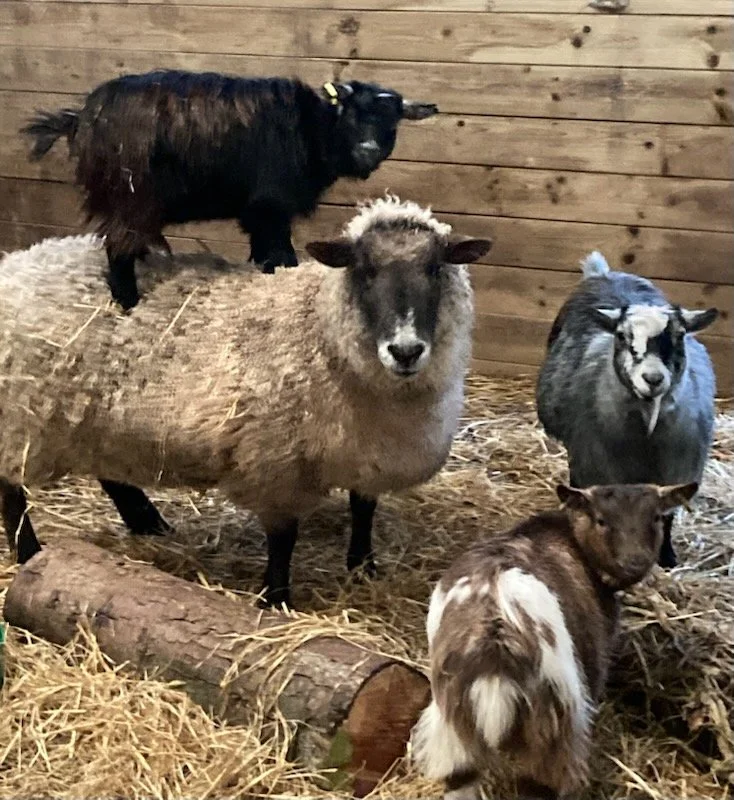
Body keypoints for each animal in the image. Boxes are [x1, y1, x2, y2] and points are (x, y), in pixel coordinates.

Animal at [0, 196, 490, 607]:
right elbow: (283, 538)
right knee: (11, 492)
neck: (317, 328)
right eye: (363, 270)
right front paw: (275, 599)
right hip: (21, 417)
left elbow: (363, 509)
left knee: (111, 475)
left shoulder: (366, 449)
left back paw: (149, 524)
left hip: (91, 416)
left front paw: (363, 567)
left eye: (435, 268)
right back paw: (29, 553)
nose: (405, 350)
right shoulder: (275, 460)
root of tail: (19, 261)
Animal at [21, 70, 438, 309]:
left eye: (393, 122)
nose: (367, 150)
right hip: (131, 196)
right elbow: (282, 255)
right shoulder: (271, 204)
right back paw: (128, 303)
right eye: (352, 113)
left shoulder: (257, 212)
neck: (315, 127)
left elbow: (265, 255)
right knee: (117, 250)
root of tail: (80, 118)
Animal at [411, 481, 698, 800]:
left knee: (459, 777)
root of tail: (494, 649)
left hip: (453, 726)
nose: (634, 562)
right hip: (552, 725)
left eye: (657, 517)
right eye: (601, 520)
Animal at [536, 252, 718, 569]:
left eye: (680, 335)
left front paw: (666, 557)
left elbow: (666, 513)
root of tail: (604, 274)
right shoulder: (599, 464)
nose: (653, 379)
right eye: (621, 336)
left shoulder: (677, 468)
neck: (645, 436)